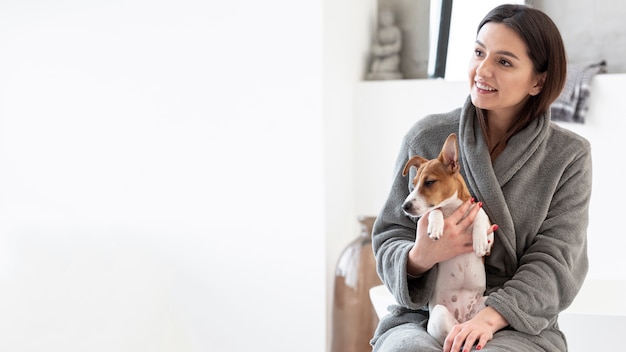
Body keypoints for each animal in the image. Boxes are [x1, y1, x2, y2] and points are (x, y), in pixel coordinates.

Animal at [400, 132, 492, 344]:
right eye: (413, 184)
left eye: (429, 182)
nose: (405, 206)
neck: (451, 210)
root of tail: (463, 318)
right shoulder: (428, 218)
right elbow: (434, 211)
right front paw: (435, 226)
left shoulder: (485, 224)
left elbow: (480, 215)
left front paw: (480, 241)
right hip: (441, 315)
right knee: (449, 336)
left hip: (486, 301)